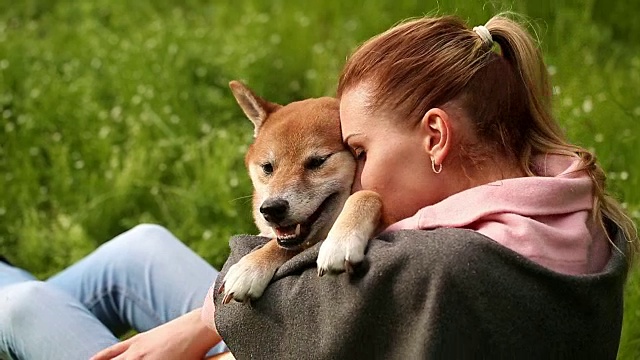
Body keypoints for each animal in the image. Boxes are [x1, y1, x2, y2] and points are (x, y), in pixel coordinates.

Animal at [220, 81, 380, 304]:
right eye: (267, 167)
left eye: (318, 161)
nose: (272, 209)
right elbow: (281, 245)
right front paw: (252, 265)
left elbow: (366, 195)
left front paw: (340, 241)